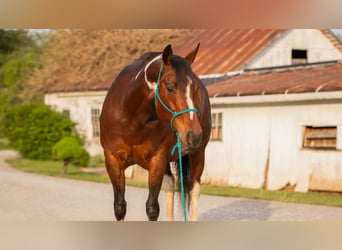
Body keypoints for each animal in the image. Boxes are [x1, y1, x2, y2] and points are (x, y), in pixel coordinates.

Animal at [99, 44, 211, 220]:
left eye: (196, 89)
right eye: (170, 87)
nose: (194, 135)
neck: (132, 121)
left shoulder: (157, 160)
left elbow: (152, 208)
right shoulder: (112, 160)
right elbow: (120, 207)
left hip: (198, 155)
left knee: (194, 191)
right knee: (170, 188)